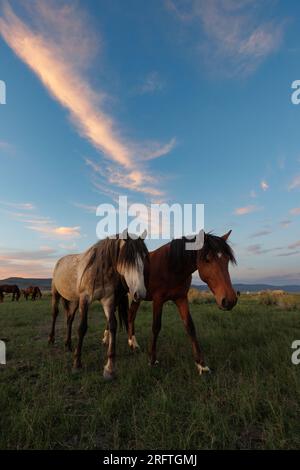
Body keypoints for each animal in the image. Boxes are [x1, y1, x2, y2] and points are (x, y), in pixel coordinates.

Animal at [48, 231, 149, 382]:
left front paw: (110, 368)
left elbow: (112, 325)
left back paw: (68, 344)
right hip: (56, 293)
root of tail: (60, 261)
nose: (140, 294)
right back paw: (51, 339)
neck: (100, 269)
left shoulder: (108, 300)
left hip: (75, 301)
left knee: (69, 319)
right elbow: (82, 328)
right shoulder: (85, 299)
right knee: (55, 314)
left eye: (144, 258)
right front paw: (77, 364)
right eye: (128, 260)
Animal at [119, 230, 237, 374]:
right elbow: (156, 327)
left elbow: (190, 327)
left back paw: (133, 344)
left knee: (131, 316)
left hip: (137, 297)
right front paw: (152, 360)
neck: (170, 266)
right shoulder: (158, 300)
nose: (229, 300)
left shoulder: (181, 298)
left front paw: (201, 365)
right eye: (207, 259)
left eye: (227, 259)